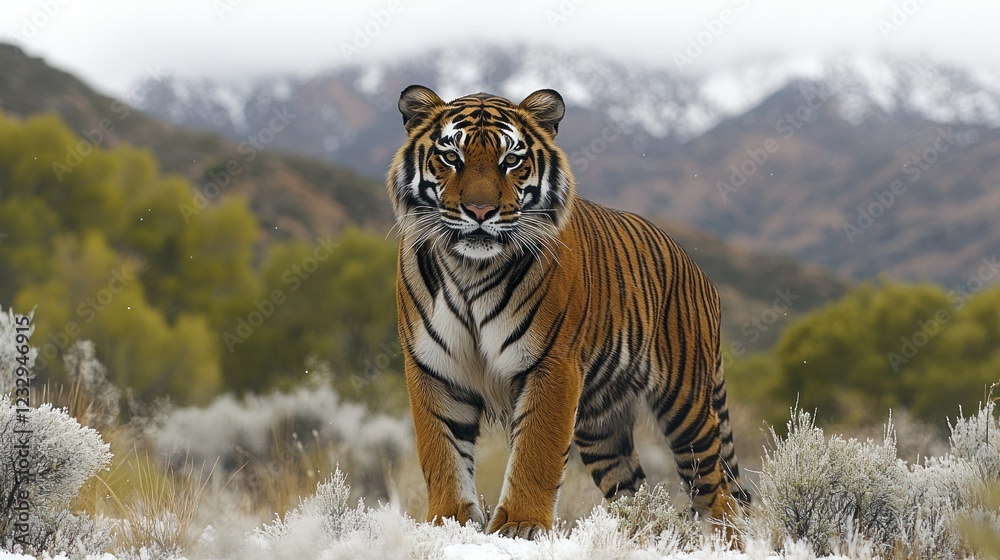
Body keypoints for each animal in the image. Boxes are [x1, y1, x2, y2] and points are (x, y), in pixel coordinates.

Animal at [387, 84, 749, 539]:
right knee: (637, 496)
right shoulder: (433, 368)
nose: (480, 212)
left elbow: (535, 454)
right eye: (451, 156)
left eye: (511, 160)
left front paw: (520, 525)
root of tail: (697, 267)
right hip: (602, 426)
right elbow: (441, 452)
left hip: (686, 405)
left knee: (717, 493)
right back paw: (637, 534)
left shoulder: (552, 364)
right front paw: (448, 523)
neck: (471, 268)